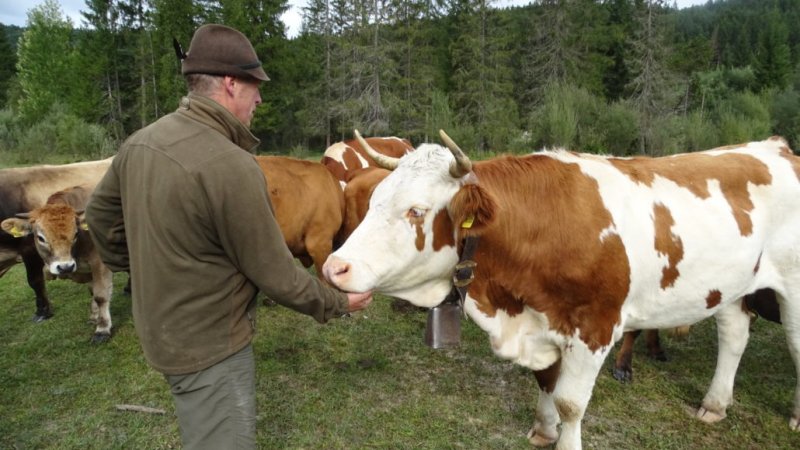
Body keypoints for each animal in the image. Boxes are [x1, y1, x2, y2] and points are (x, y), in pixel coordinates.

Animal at [324, 132, 800, 448]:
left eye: (417, 211)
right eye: (375, 200)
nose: (335, 267)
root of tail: (774, 146)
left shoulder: (595, 327)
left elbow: (571, 402)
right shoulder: (542, 322)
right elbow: (546, 381)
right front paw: (542, 429)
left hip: (792, 285)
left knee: (794, 344)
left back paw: (794, 416)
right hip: (732, 286)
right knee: (734, 336)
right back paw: (715, 404)